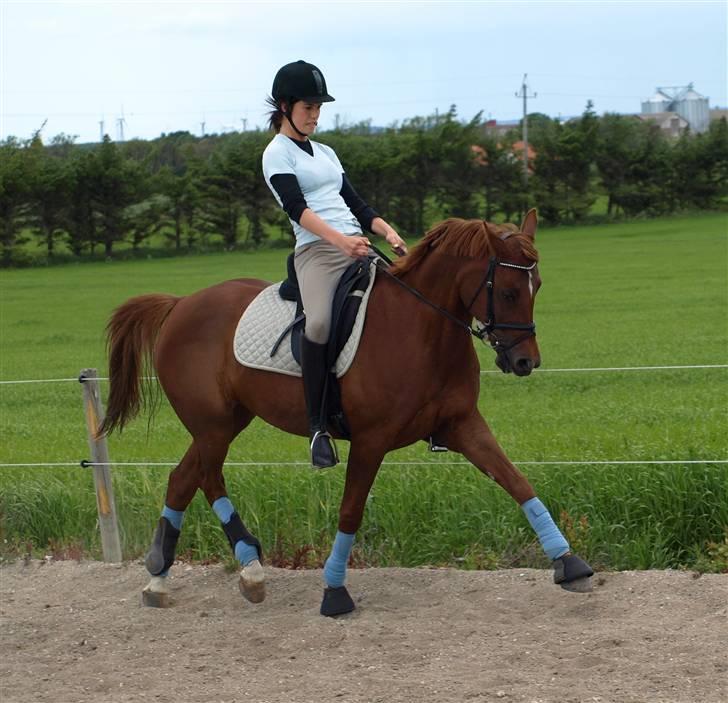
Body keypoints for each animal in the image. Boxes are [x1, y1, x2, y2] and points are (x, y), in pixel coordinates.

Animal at [100, 209, 594, 616]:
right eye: (509, 291)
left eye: (537, 287)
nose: (525, 362)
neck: (422, 330)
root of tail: (180, 304)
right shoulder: (372, 439)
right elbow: (351, 510)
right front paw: (335, 592)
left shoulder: (462, 425)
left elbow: (517, 481)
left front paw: (570, 564)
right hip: (213, 425)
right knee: (202, 476)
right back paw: (230, 568)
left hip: (227, 421)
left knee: (186, 478)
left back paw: (184, 577)